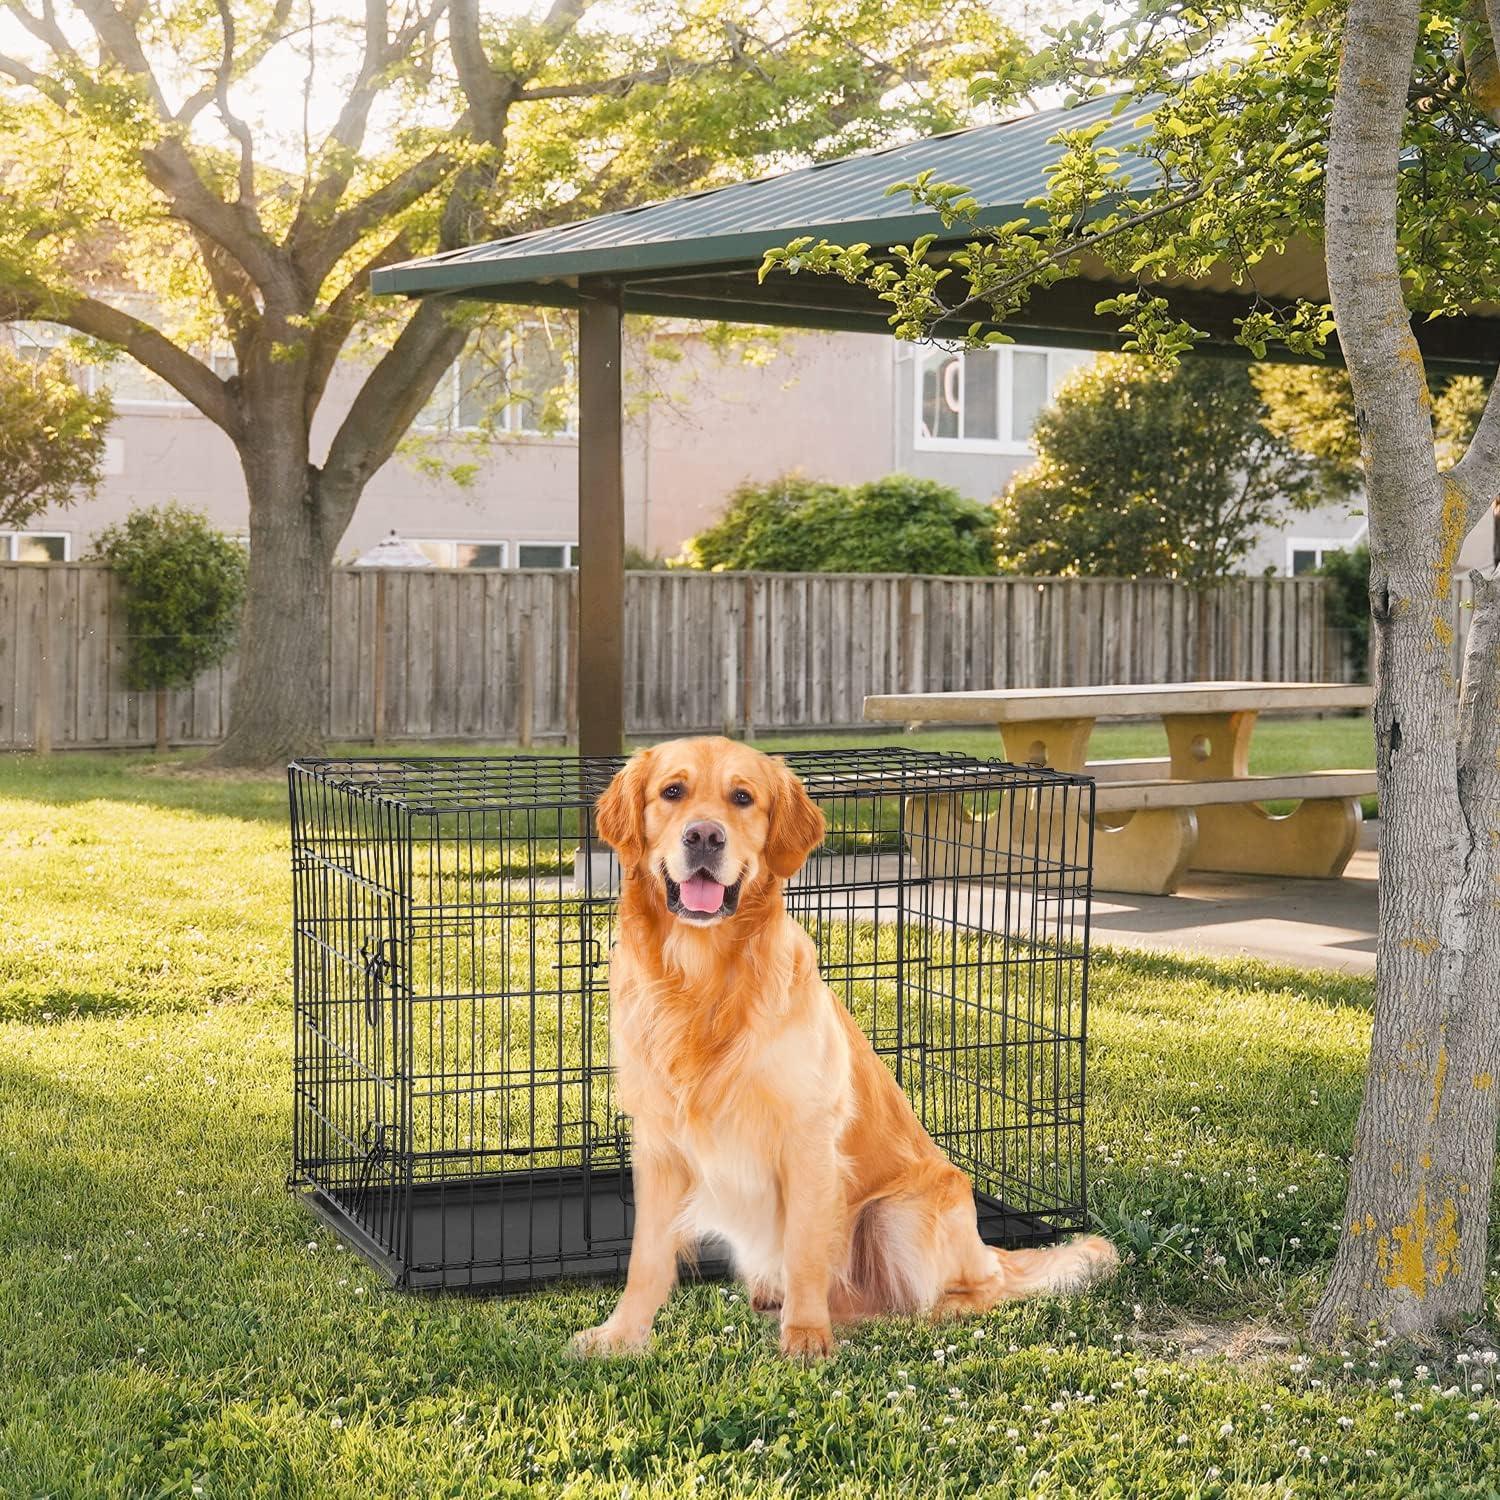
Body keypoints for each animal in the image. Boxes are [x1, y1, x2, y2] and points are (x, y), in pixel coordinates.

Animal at [570, 738, 1116, 1362]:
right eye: (672, 791)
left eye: (742, 797)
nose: (704, 836)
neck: (702, 978)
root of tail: (987, 1247)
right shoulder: (660, 1144)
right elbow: (646, 1259)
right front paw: (621, 1335)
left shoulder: (809, 1139)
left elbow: (806, 1251)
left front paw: (807, 1337)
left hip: (897, 1213)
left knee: (966, 1292)